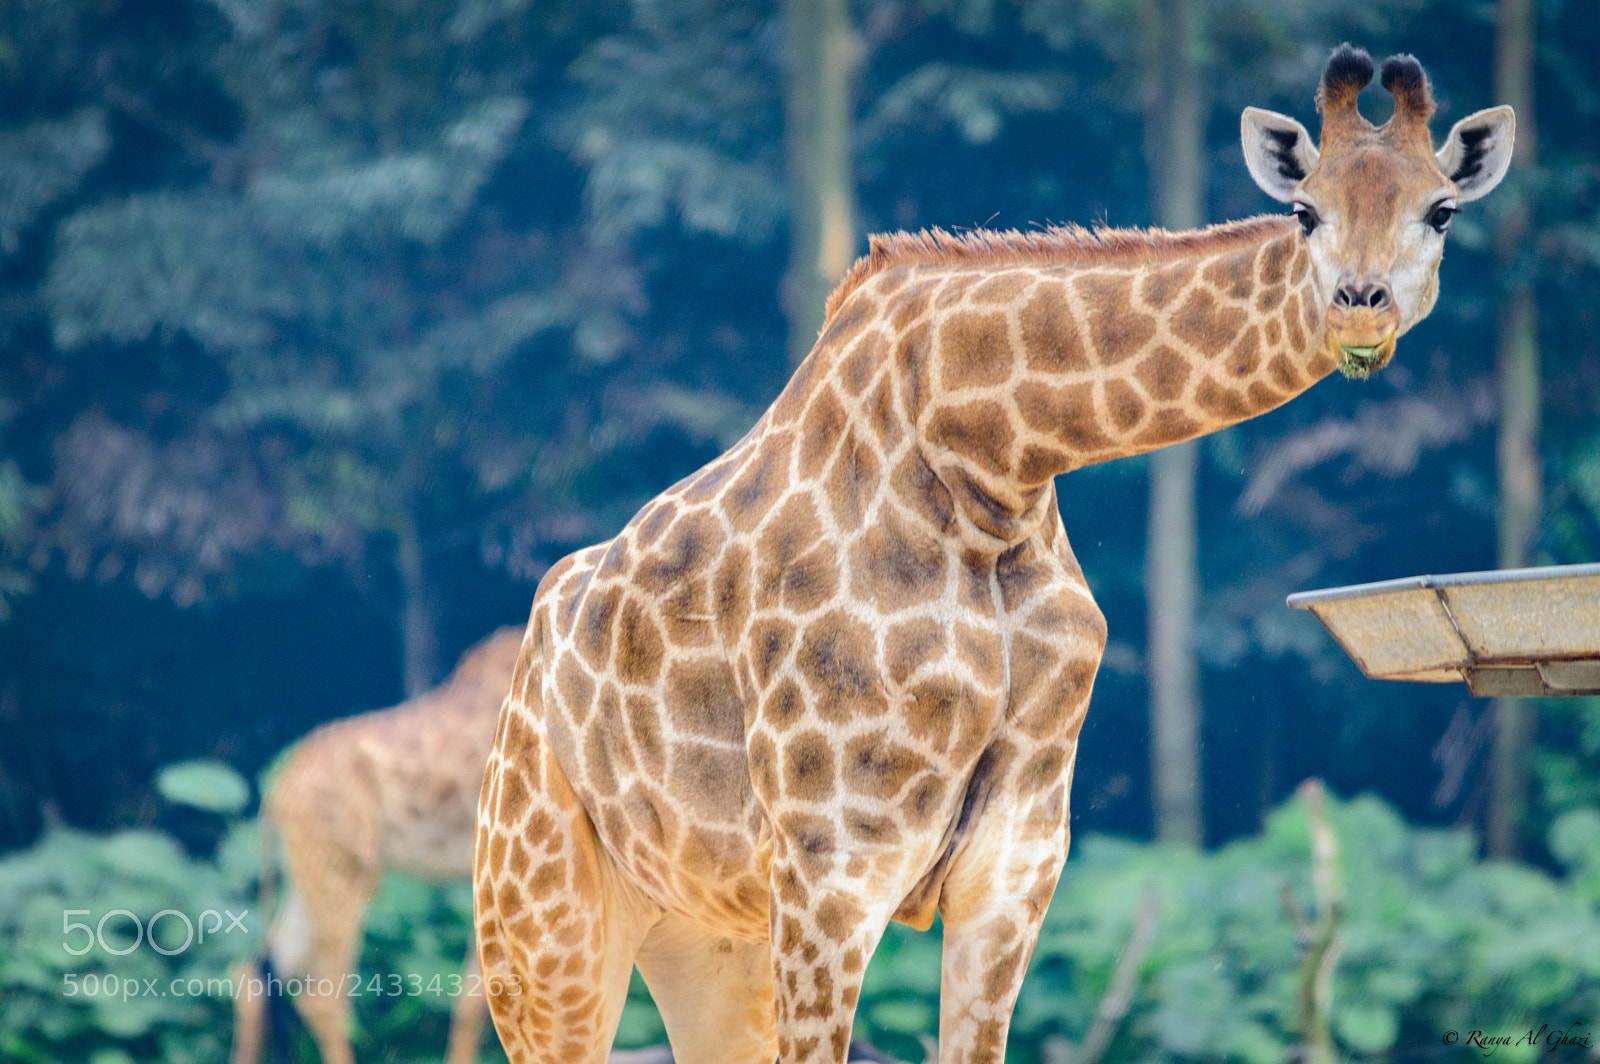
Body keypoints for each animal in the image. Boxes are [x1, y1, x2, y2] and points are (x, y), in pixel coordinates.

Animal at [473, 46, 1513, 1064]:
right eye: (1305, 210)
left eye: (1441, 210)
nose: (1360, 311)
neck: (990, 467)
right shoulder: (830, 866)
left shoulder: (1015, 867)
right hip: (542, 924)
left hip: (707, 938)